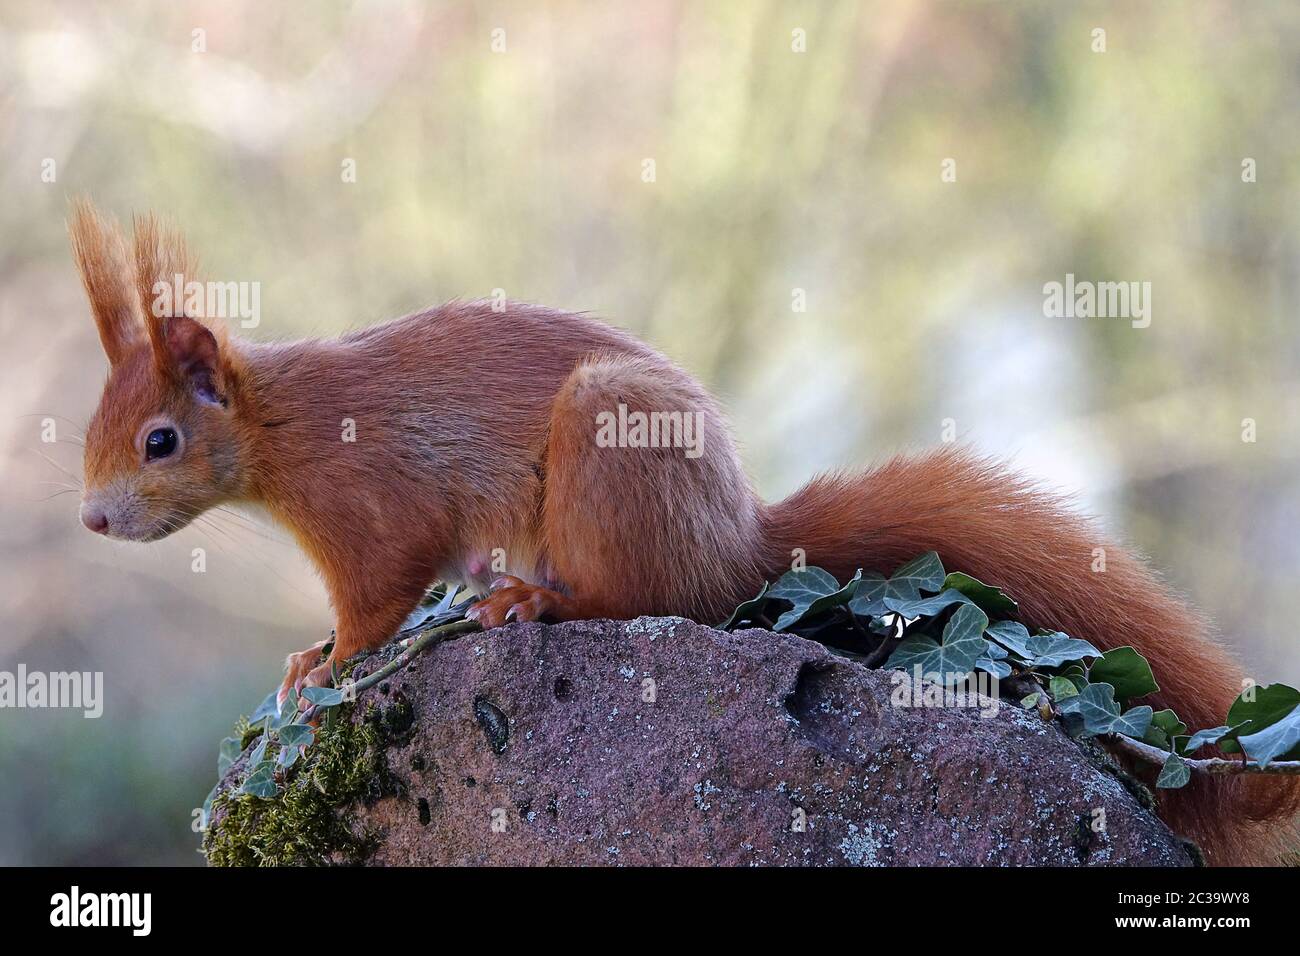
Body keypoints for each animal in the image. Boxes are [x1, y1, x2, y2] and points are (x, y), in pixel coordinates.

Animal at [69, 199, 1297, 866]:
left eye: (161, 441)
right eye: (93, 428)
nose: (89, 516)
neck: (280, 429)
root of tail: (742, 537)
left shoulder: (372, 506)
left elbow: (379, 599)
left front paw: (325, 661)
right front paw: (310, 655)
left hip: (609, 452)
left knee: (655, 601)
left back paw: (536, 600)